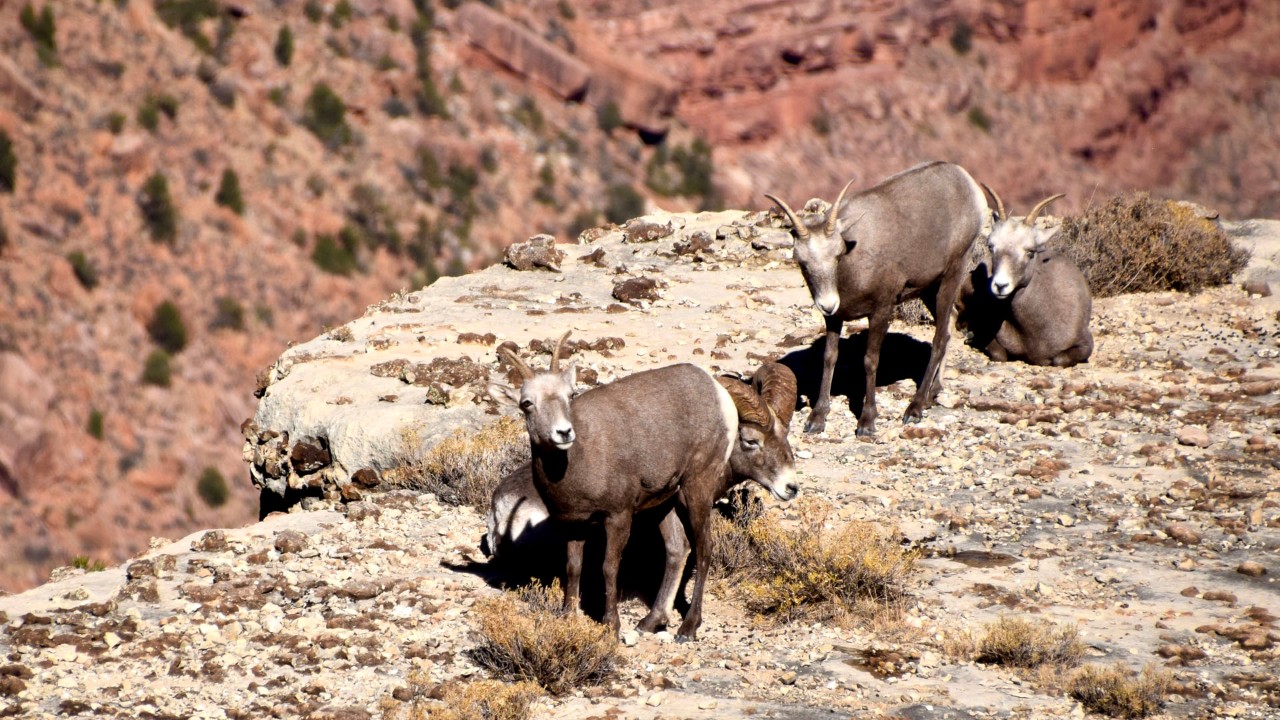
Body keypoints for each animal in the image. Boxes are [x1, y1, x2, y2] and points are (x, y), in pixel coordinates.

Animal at [487, 333, 798, 640]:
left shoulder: (618, 517)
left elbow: (609, 568)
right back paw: (651, 622)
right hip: (666, 502)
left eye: (569, 395)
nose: (790, 486)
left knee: (704, 549)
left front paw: (611, 628)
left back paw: (687, 628)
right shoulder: (573, 525)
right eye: (527, 403)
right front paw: (567, 619)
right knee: (678, 549)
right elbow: (573, 568)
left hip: (695, 491)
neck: (572, 464)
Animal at [765, 161, 987, 436]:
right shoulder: (835, 319)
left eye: (837, 254)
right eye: (801, 261)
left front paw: (867, 422)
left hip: (953, 272)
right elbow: (829, 357)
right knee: (948, 326)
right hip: (928, 287)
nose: (828, 303)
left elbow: (870, 361)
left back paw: (915, 408)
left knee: (939, 338)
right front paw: (817, 418)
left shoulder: (881, 311)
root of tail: (963, 178)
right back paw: (934, 392)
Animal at [959, 186, 1094, 367]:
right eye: (991, 246)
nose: (1000, 286)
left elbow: (1058, 359)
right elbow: (999, 355)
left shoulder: (1084, 345)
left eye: (1030, 251)